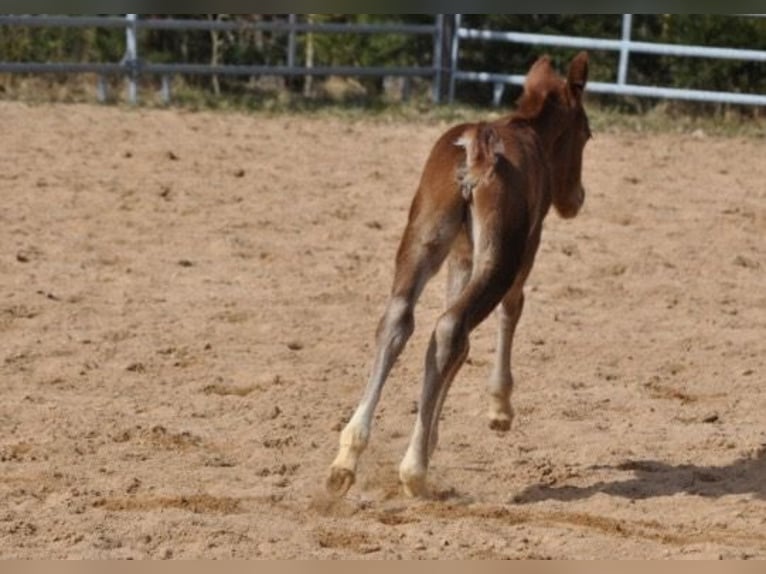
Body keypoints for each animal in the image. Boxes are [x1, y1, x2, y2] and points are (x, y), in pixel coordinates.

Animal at [327, 52, 592, 498]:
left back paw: (347, 458)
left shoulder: (459, 257)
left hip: (423, 240)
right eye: (587, 135)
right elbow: (510, 311)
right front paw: (499, 410)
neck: (531, 135)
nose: (577, 199)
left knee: (401, 320)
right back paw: (414, 470)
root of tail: (476, 146)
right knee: (452, 327)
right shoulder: (522, 254)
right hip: (497, 260)